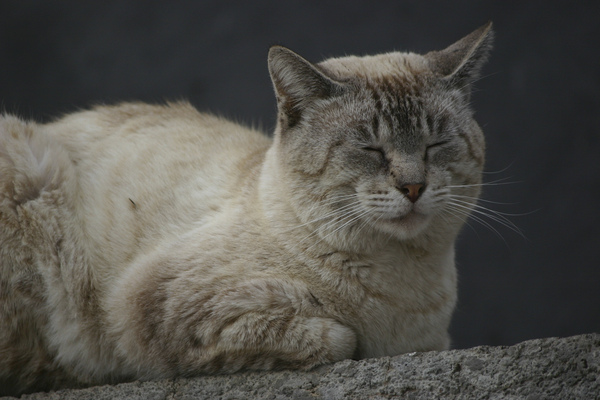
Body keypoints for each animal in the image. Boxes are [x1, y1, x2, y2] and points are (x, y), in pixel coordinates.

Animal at [0, 23, 492, 396]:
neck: (406, 283)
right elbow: (337, 337)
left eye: (434, 145)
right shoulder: (157, 305)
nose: (413, 186)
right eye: (370, 149)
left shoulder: (434, 341)